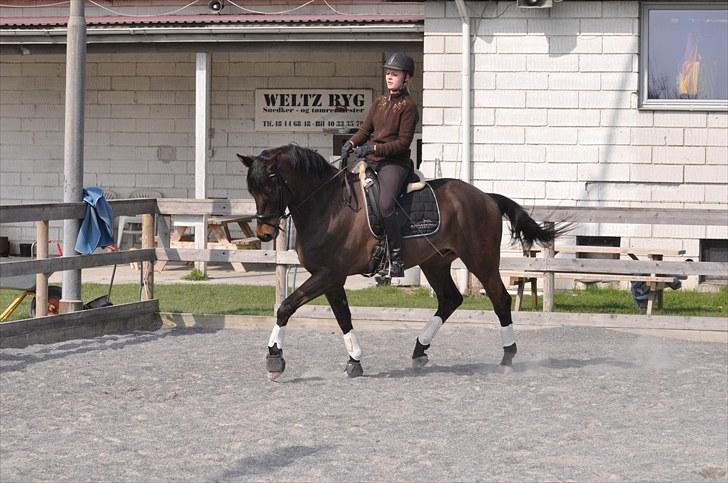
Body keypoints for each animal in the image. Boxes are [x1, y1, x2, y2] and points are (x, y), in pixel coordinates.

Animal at [239, 145, 564, 382]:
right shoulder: (331, 277)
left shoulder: (328, 274)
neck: (328, 206)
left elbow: (286, 306)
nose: (265, 233)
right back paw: (420, 350)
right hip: (435, 262)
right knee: (450, 299)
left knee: (499, 299)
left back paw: (507, 358)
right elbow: (343, 316)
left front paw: (274, 359)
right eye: (252, 190)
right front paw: (354, 360)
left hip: (480, 259)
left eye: (270, 188)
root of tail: (486, 197)